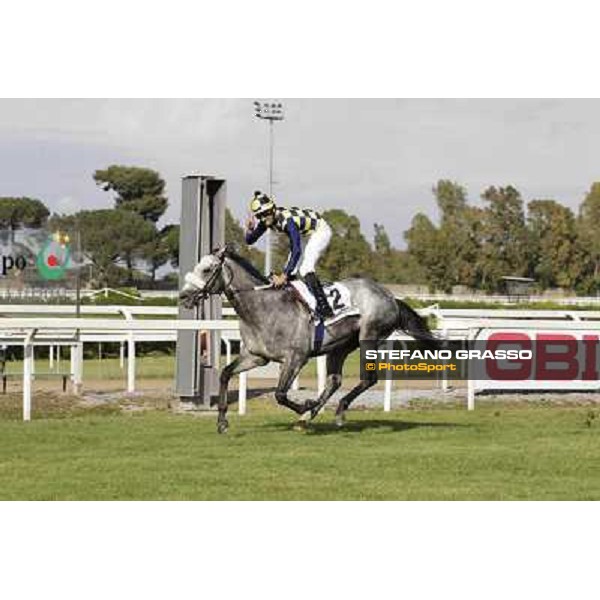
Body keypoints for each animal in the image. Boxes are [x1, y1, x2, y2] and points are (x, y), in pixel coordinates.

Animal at [180, 246, 438, 434]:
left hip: (369, 336)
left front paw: (304, 405)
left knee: (369, 379)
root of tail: (390, 297)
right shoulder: (256, 357)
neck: (263, 308)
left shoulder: (296, 357)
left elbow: (280, 394)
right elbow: (225, 374)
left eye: (207, 269)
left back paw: (335, 411)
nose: (183, 296)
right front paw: (222, 422)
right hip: (340, 346)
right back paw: (312, 414)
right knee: (334, 380)